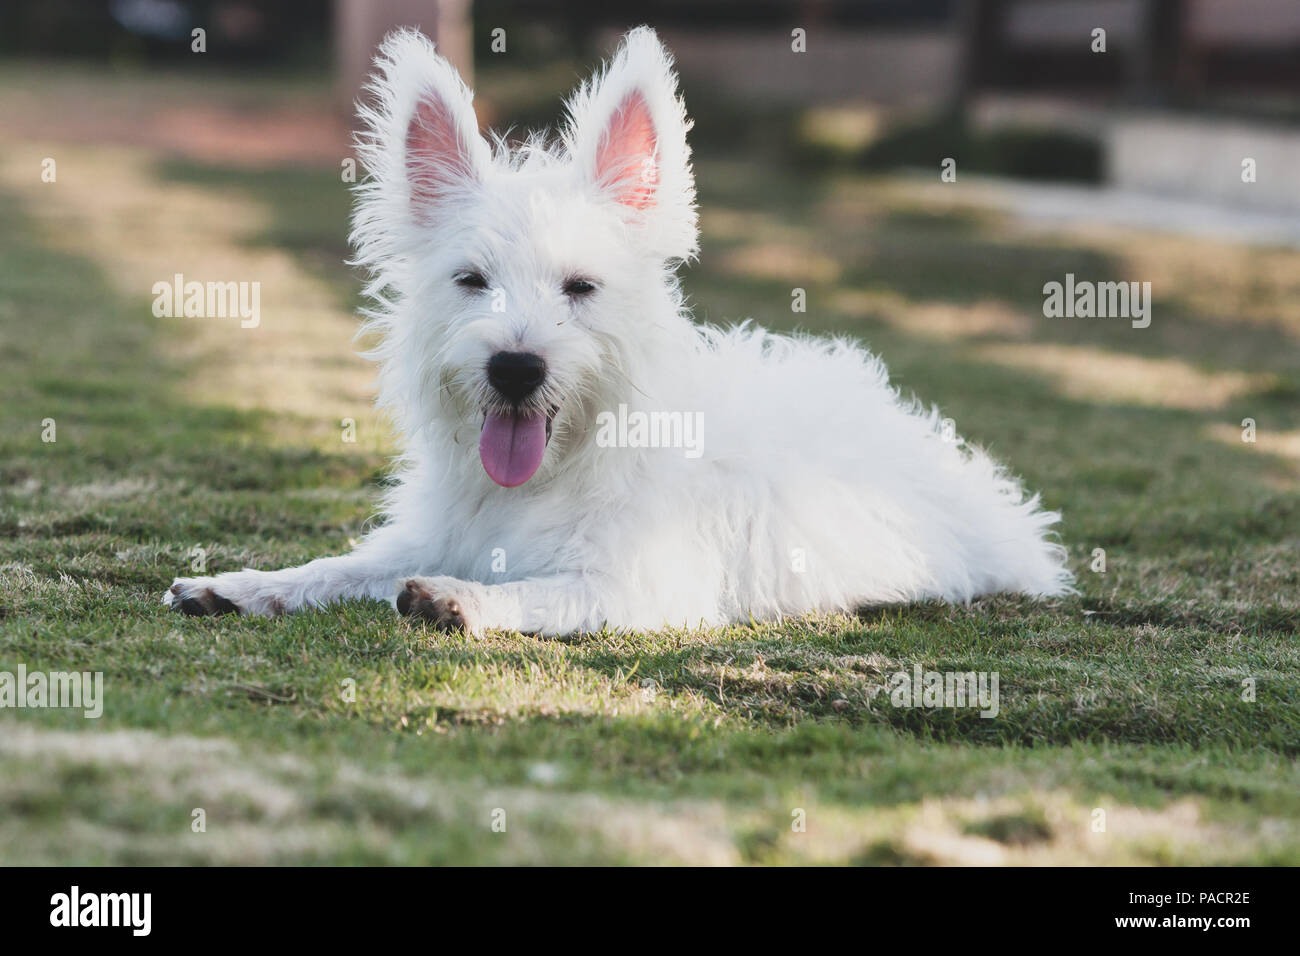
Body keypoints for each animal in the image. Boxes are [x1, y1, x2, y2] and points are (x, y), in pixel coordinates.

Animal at [162, 27, 1071, 634]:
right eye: (471, 282)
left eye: (581, 287)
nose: (516, 369)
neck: (553, 473)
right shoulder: (431, 533)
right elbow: (341, 565)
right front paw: (246, 583)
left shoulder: (634, 587)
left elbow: (530, 591)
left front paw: (460, 598)